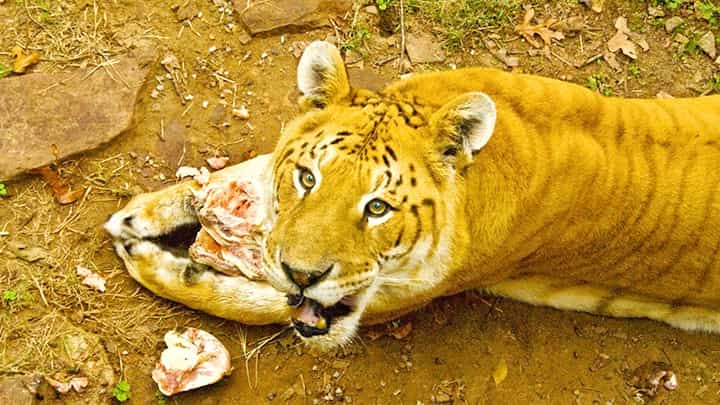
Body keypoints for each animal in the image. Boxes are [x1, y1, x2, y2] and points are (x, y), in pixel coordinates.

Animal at [104, 41, 720, 350]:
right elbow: (240, 176)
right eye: (308, 179)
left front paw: (158, 265)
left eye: (377, 208)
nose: (303, 274)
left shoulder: (386, 301)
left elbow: (248, 302)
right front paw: (138, 217)